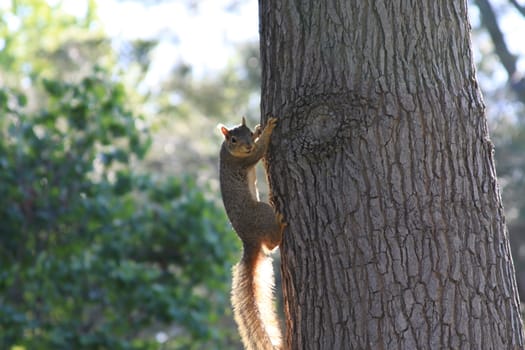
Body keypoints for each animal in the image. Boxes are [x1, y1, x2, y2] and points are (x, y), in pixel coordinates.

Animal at [220, 116, 288, 348]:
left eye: (248, 133)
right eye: (233, 139)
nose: (248, 144)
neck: (227, 151)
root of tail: (249, 241)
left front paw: (260, 129)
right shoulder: (244, 161)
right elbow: (259, 152)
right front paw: (268, 129)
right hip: (262, 212)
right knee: (272, 244)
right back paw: (280, 225)